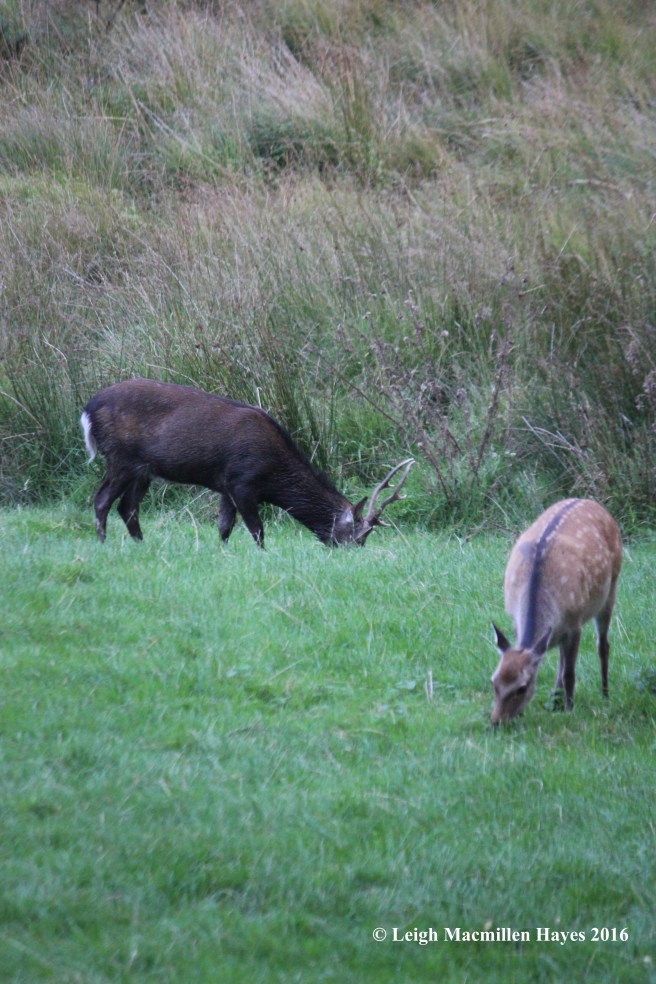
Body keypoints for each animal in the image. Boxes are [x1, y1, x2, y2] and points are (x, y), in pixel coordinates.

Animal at [80, 378, 414, 548]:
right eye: (357, 537)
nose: (352, 554)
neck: (273, 474)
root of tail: (87, 410)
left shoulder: (225, 485)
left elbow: (224, 527)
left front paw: (223, 554)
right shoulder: (242, 481)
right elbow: (257, 528)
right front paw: (262, 554)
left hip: (144, 469)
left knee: (127, 507)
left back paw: (141, 545)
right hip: (121, 457)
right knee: (101, 499)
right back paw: (103, 544)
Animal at [490, 498, 622, 725]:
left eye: (522, 687)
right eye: (493, 681)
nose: (496, 721)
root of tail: (589, 501)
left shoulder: (575, 623)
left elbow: (570, 673)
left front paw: (570, 710)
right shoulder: (518, 622)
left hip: (611, 588)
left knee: (603, 645)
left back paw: (605, 695)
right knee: (562, 654)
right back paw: (556, 699)